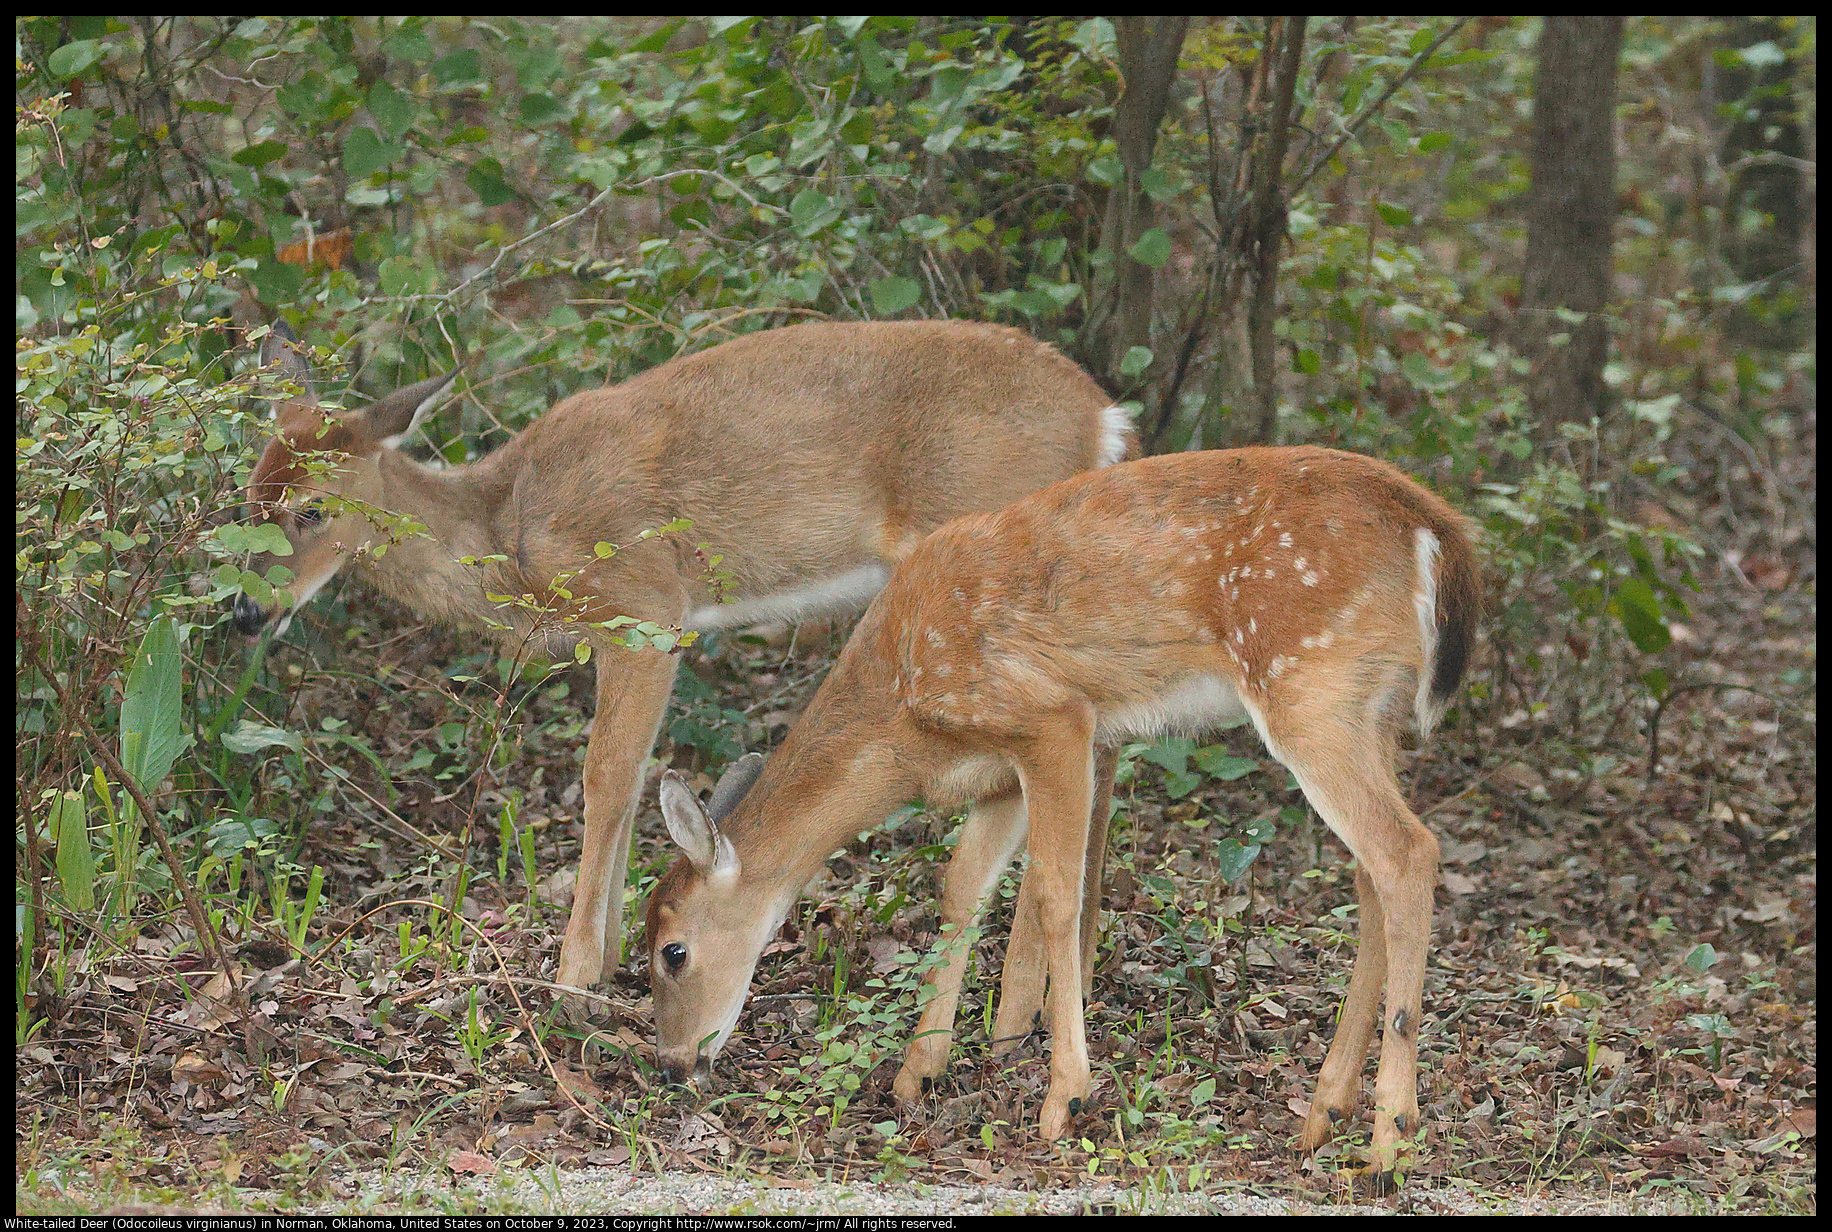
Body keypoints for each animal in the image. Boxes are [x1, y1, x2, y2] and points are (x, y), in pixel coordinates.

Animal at [232, 317, 1128, 990]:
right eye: (248, 494)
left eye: (313, 509)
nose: (245, 611)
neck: (510, 534)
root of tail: (1102, 416)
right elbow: (633, 778)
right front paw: (612, 950)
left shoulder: (644, 608)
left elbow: (605, 777)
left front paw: (573, 972)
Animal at [644, 449, 1472, 1173]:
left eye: (671, 952)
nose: (673, 1064)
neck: (904, 710)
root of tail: (1438, 532)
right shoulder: (1001, 772)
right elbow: (961, 888)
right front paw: (920, 1072)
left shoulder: (1054, 719)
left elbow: (1053, 895)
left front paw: (1063, 1098)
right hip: (1367, 708)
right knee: (1371, 873)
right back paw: (1323, 1114)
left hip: (1310, 686)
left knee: (1407, 852)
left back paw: (1389, 1139)